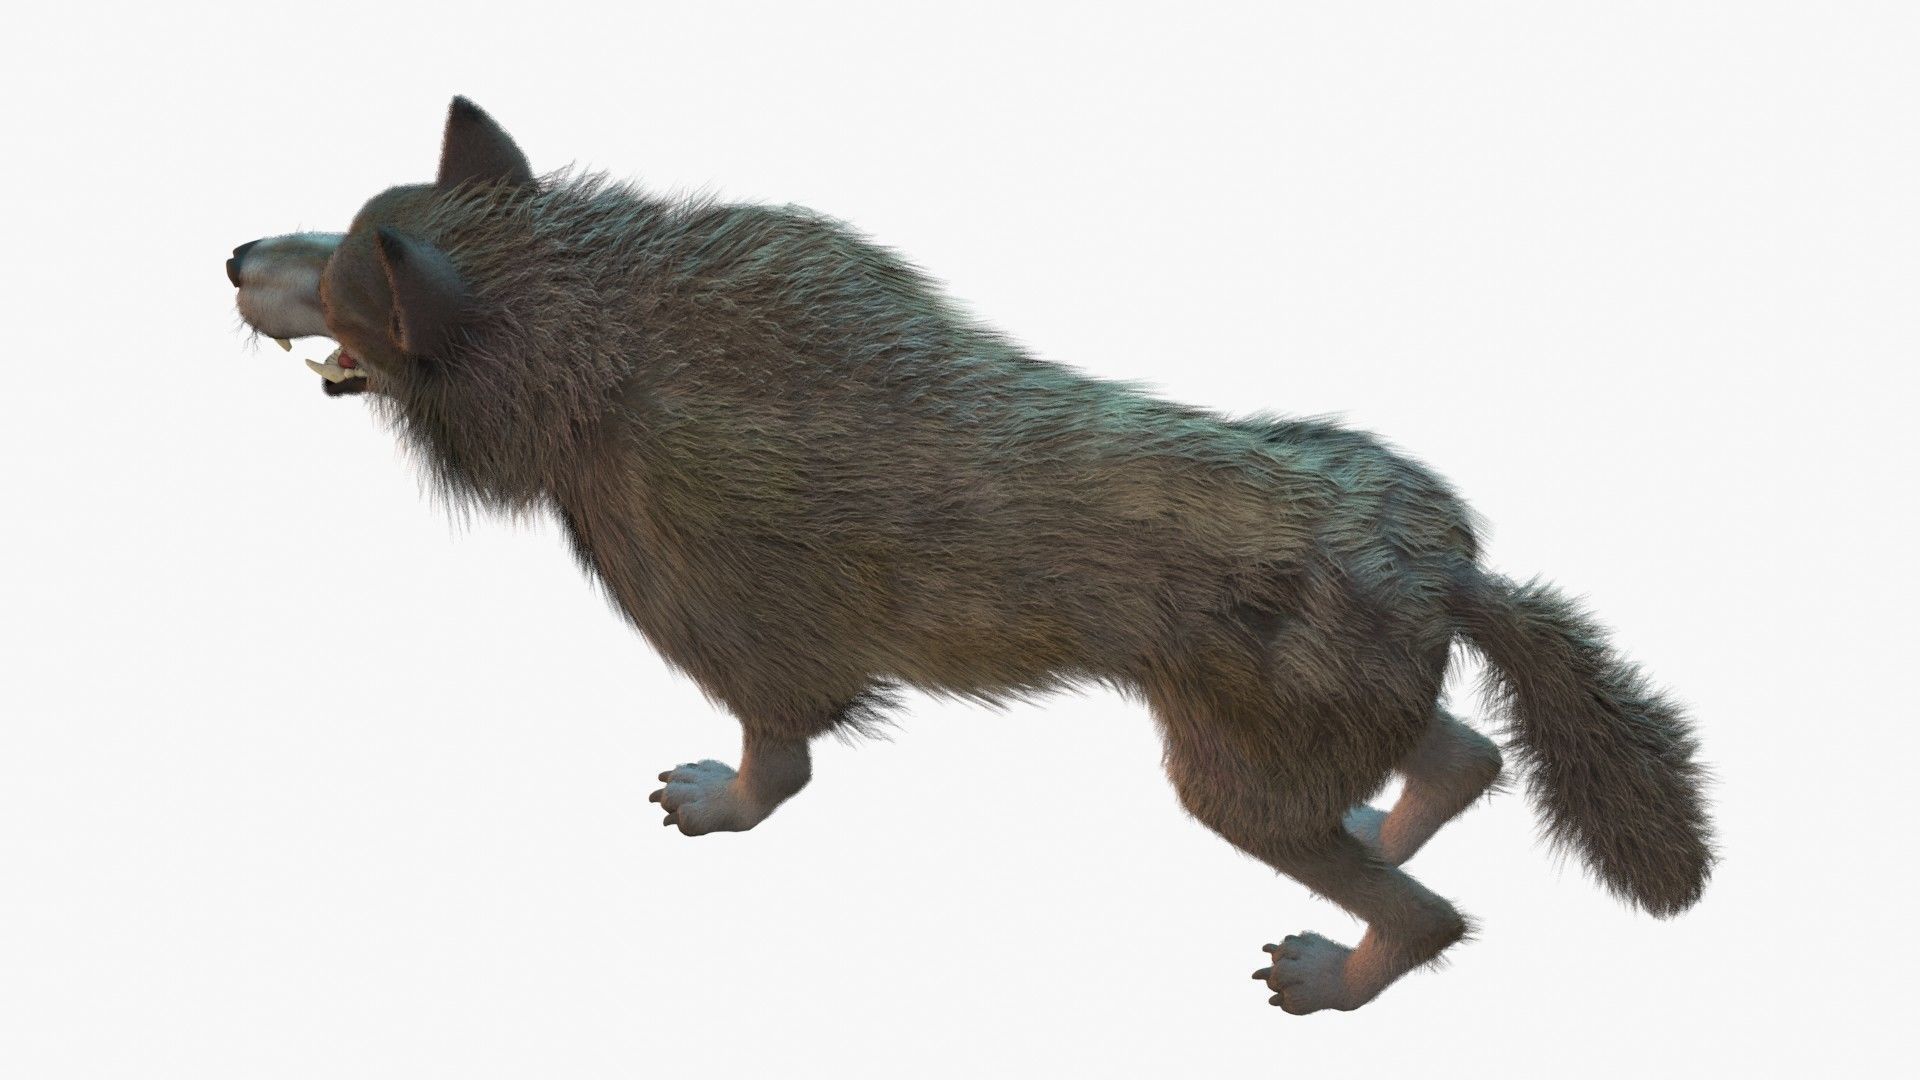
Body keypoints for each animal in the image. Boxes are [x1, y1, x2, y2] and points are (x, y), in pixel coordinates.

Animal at [227, 97, 1714, 1013]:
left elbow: (780, 764)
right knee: (1466, 759)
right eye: (337, 228)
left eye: (346, 277)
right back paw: (1386, 828)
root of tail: (1454, 565)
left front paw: (722, 804)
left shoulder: (754, 653)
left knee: (1434, 911)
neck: (603, 340)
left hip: (1231, 785)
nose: (236, 254)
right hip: (1310, 748)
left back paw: (1333, 979)